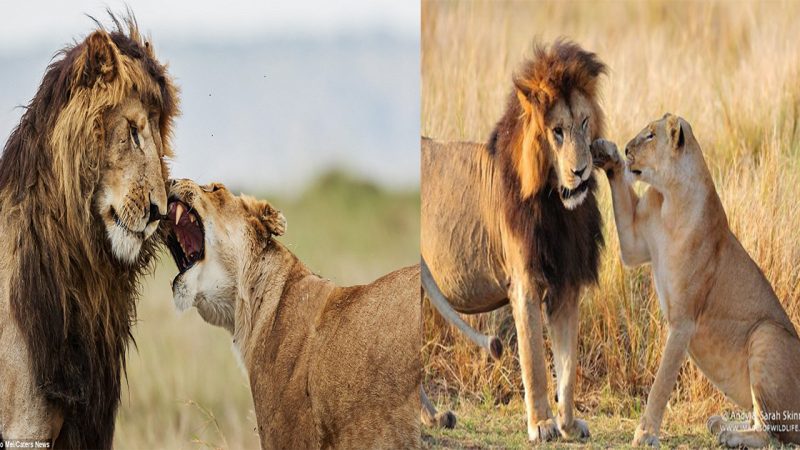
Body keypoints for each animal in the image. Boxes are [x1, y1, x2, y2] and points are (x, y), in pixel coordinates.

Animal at [422, 41, 604, 442]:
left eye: (584, 123)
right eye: (557, 131)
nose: (581, 171)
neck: (557, 206)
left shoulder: (567, 283)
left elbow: (568, 366)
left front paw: (569, 425)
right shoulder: (524, 282)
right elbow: (534, 360)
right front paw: (542, 425)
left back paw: (433, 417)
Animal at [592, 115, 800, 446]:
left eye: (650, 135)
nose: (625, 149)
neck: (669, 199)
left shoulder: (684, 321)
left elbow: (662, 382)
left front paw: (645, 433)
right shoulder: (635, 245)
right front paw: (606, 154)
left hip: (766, 334)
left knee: (773, 434)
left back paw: (730, 435)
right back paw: (720, 423)